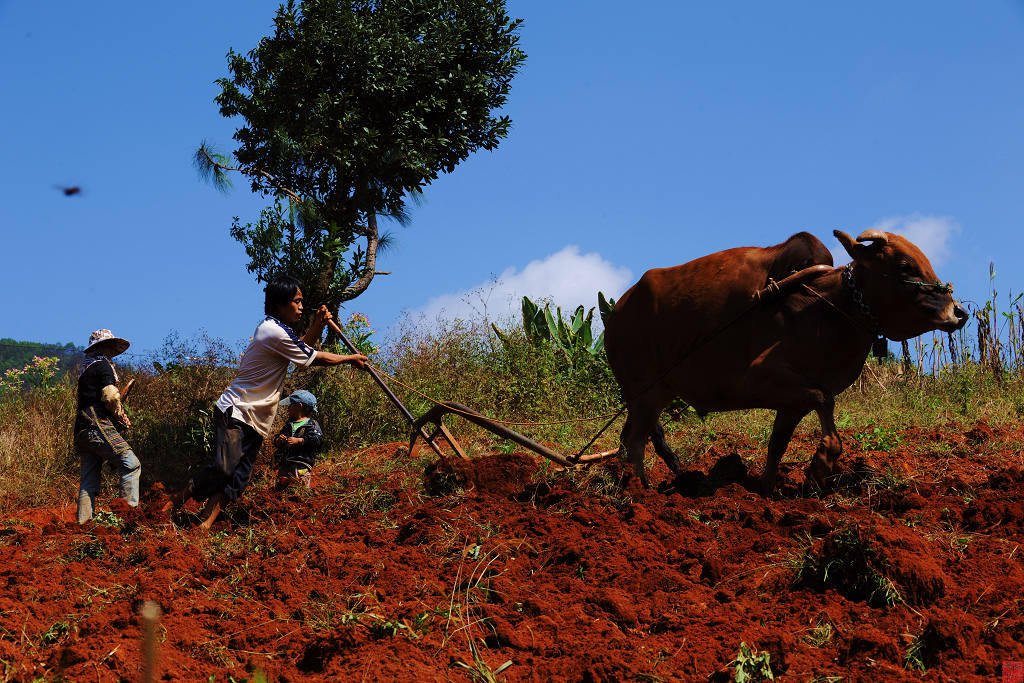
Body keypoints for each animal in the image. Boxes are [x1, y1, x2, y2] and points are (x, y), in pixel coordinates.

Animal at [606, 229, 966, 491]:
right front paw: (821, 464)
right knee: (633, 443)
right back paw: (640, 491)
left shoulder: (792, 401)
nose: (958, 312)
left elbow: (778, 442)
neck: (828, 308)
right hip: (643, 393)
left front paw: (766, 488)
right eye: (904, 266)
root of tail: (618, 310)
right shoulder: (759, 379)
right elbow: (824, 401)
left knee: (635, 439)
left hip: (655, 393)